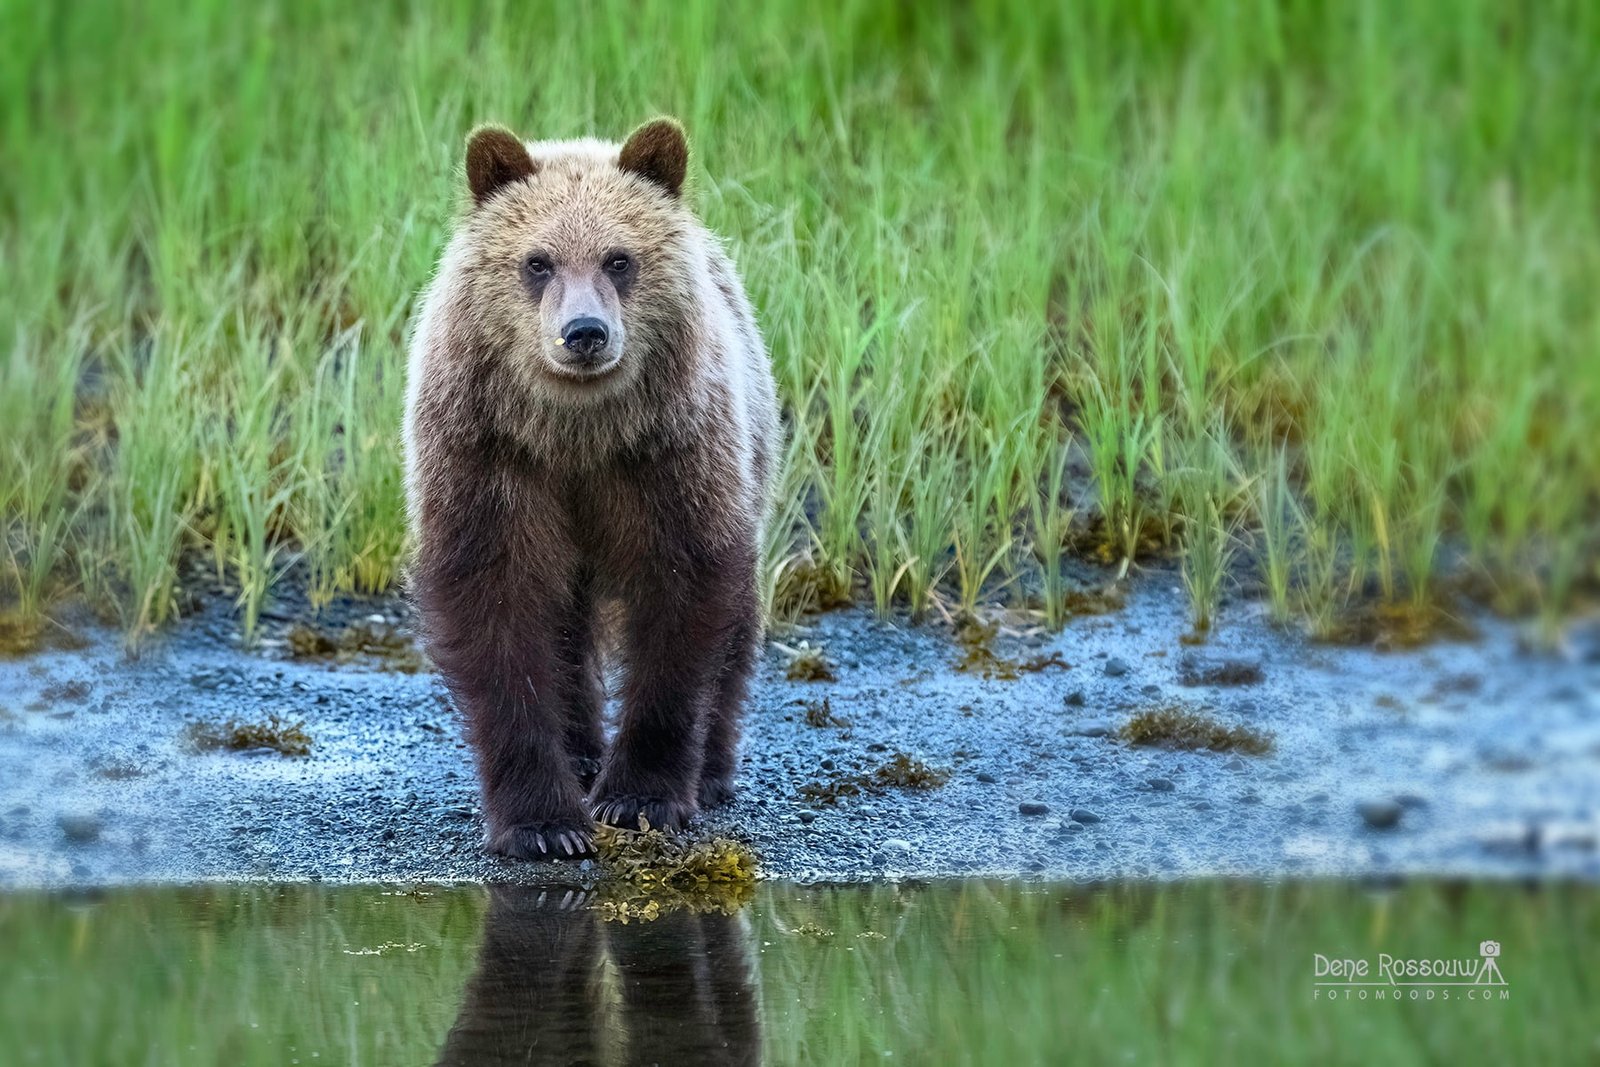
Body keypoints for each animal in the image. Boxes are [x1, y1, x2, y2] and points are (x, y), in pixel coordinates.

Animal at [403, 118, 780, 860]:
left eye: (619, 259)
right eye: (538, 261)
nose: (584, 333)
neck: (577, 434)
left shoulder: (668, 458)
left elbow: (683, 596)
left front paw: (639, 797)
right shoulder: (490, 458)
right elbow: (497, 606)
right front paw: (545, 822)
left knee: (736, 619)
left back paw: (713, 769)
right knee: (564, 622)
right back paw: (579, 751)